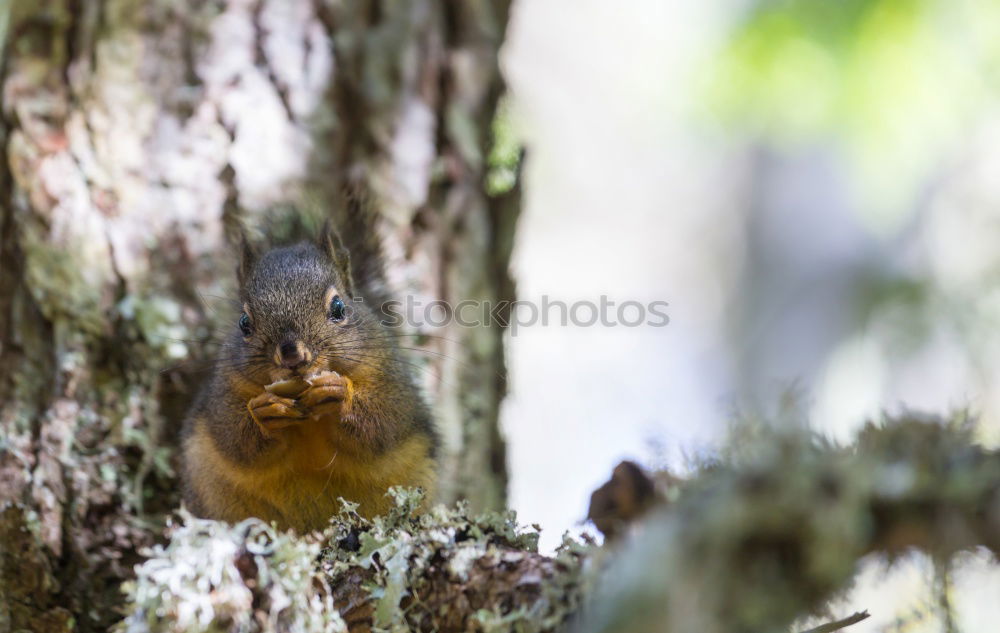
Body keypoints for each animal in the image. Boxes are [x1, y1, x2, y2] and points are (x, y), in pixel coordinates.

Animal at [181, 215, 438, 532]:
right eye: (243, 323)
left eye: (339, 307)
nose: (292, 354)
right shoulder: (222, 393)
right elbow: (235, 439)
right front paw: (266, 410)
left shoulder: (393, 382)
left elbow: (383, 424)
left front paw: (338, 393)